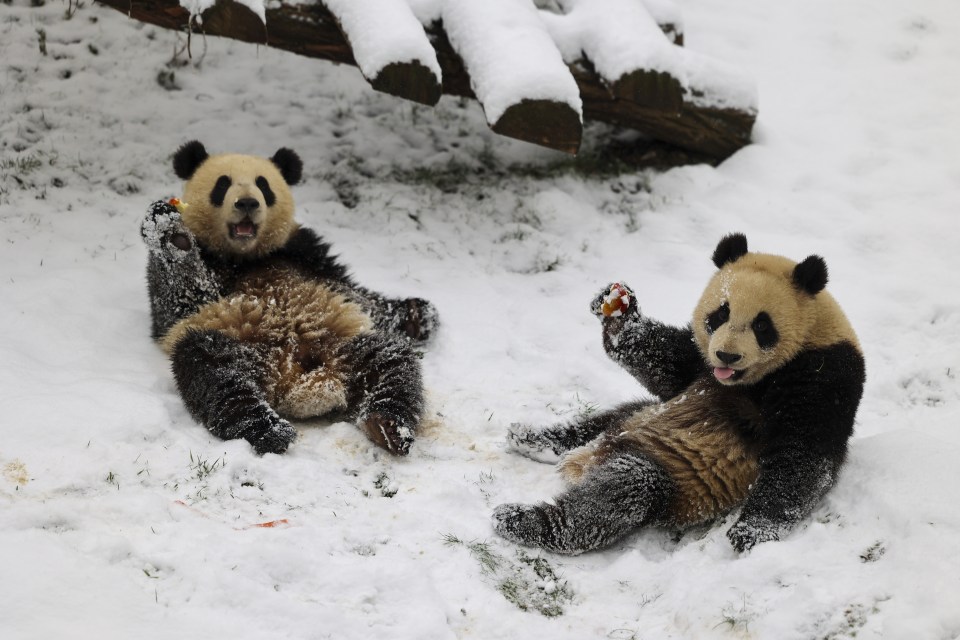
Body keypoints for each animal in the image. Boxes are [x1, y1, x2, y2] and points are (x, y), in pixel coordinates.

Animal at [140, 143, 438, 458]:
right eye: (223, 184)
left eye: (263, 185)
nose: (247, 204)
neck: (245, 256)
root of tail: (296, 378)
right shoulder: (191, 299)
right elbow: (177, 301)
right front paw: (171, 232)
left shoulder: (304, 252)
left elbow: (353, 293)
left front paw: (417, 314)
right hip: (238, 345)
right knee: (211, 368)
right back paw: (268, 430)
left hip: (346, 347)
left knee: (393, 364)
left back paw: (388, 426)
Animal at [498, 232, 868, 552]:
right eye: (720, 313)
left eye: (762, 325)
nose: (727, 356)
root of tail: (589, 459)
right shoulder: (700, 366)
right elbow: (668, 365)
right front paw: (619, 316)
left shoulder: (825, 375)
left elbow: (802, 457)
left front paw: (752, 530)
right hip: (637, 416)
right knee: (604, 420)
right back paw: (532, 439)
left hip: (672, 476)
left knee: (619, 495)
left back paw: (526, 521)